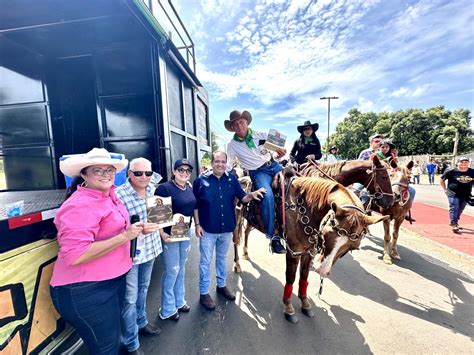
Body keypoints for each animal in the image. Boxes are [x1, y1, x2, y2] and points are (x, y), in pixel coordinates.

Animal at [278, 177, 388, 322]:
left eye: (354, 247)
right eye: (326, 234)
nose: (322, 270)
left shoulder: (309, 252)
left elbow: (304, 276)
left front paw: (305, 303)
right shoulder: (294, 250)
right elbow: (291, 277)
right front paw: (288, 307)